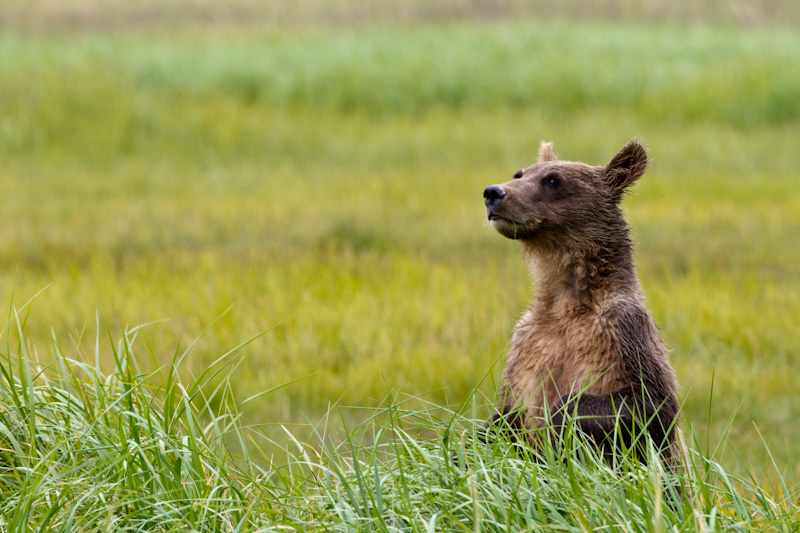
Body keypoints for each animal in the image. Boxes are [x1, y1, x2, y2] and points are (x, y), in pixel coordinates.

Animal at [482, 137, 688, 474]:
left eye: (553, 180)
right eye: (519, 173)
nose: (493, 193)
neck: (569, 300)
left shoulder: (622, 331)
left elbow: (653, 406)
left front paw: (556, 426)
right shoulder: (524, 343)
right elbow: (504, 416)